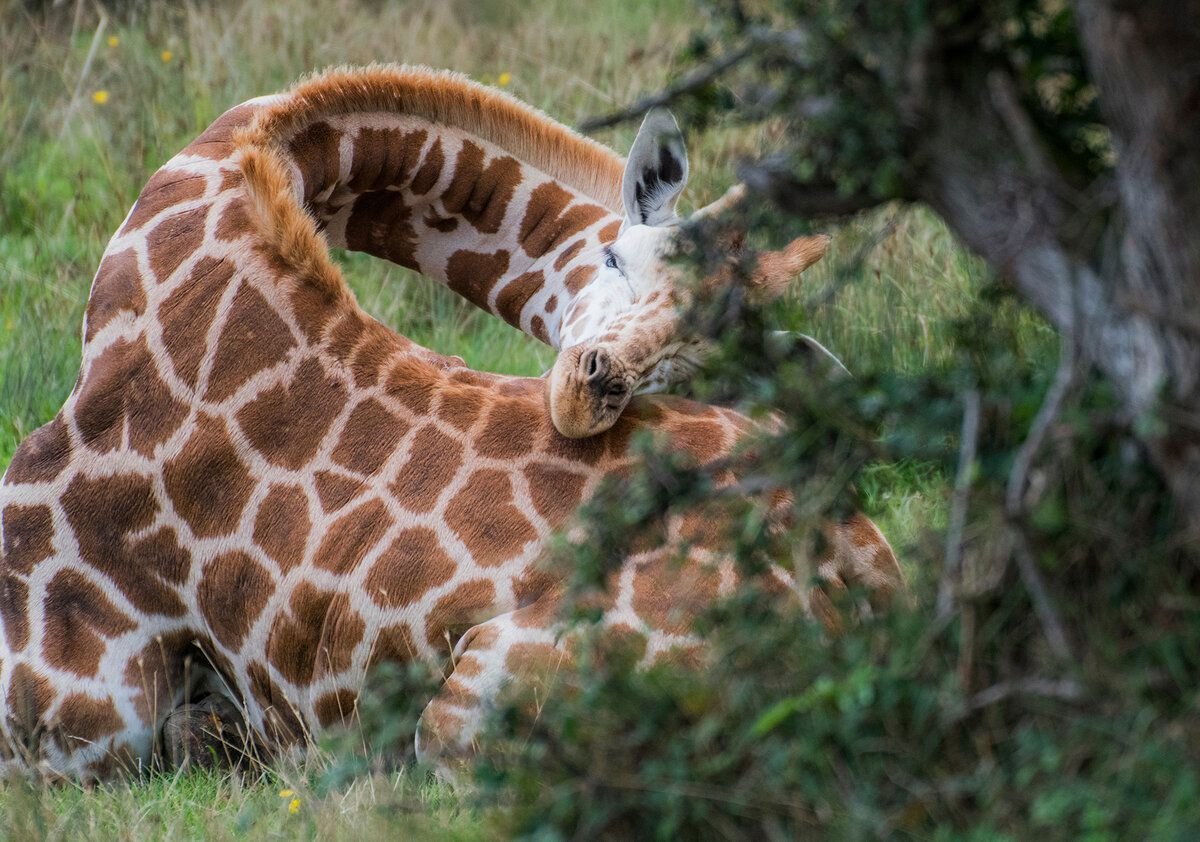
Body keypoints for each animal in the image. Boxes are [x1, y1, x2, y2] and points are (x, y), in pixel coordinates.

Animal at [0, 65, 902, 786]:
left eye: (691, 363)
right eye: (616, 259)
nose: (589, 392)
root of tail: (851, 607)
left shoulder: (76, 696)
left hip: (468, 713)